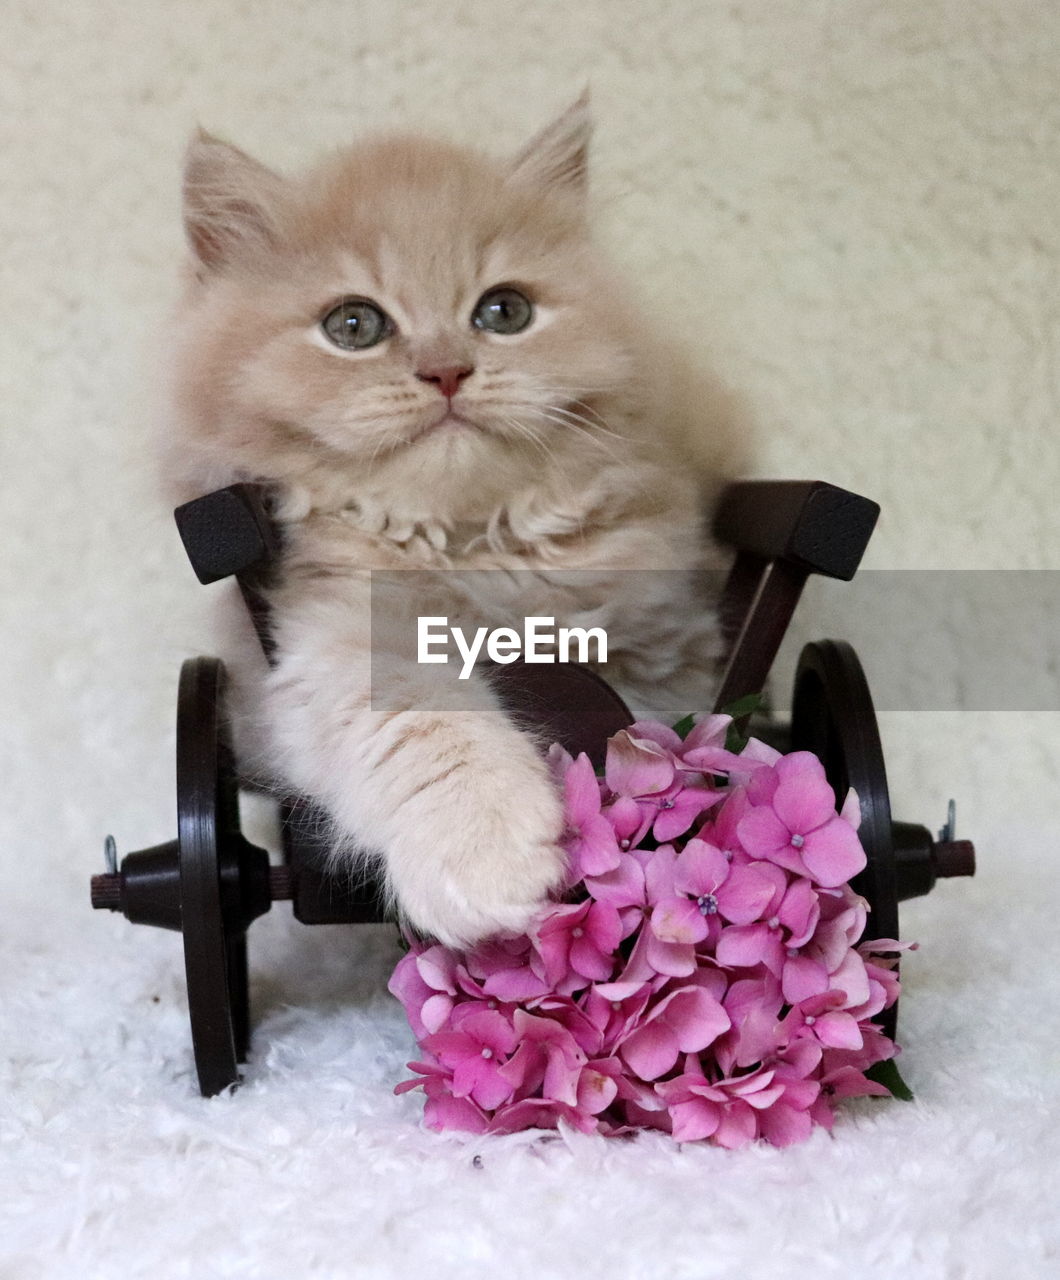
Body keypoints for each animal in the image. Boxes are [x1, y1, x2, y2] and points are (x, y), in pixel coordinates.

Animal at [165, 94, 747, 947]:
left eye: (504, 312)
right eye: (353, 326)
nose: (446, 371)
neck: (473, 545)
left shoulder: (664, 655)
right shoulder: (324, 632)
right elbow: (419, 715)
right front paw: (486, 854)